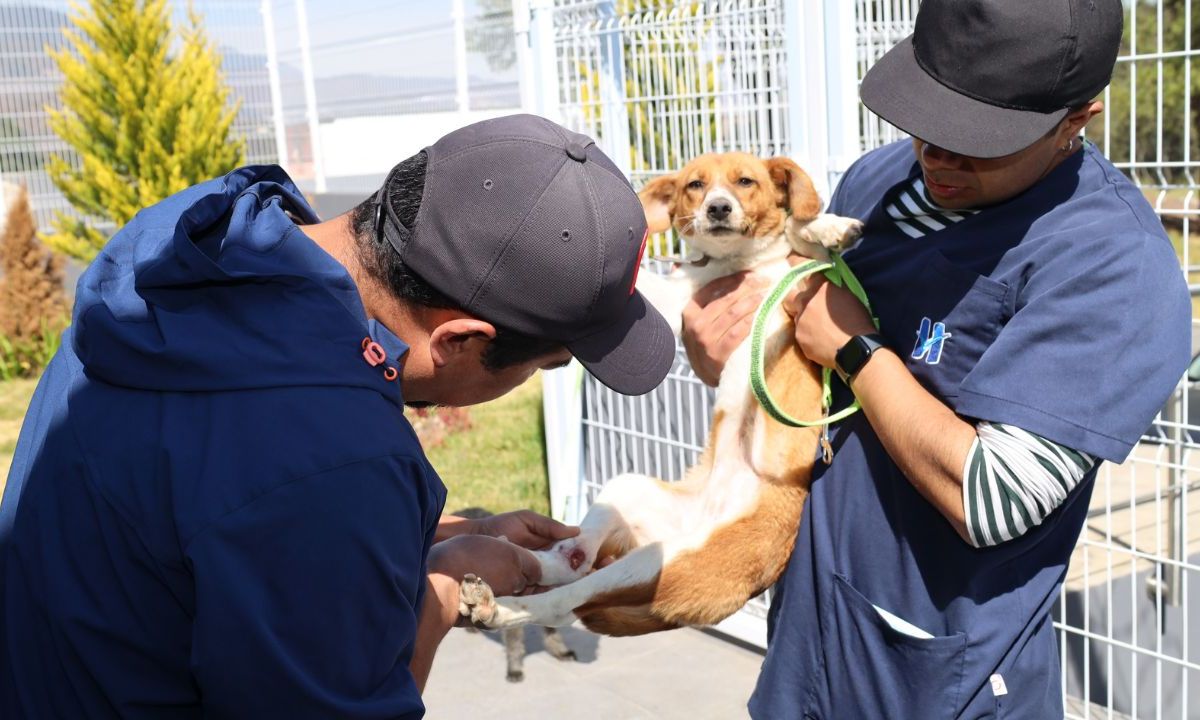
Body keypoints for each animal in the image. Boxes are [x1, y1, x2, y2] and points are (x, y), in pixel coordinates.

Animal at [458, 151, 864, 633]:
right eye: (695, 185)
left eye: (745, 181)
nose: (718, 208)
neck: (734, 263)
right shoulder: (676, 305)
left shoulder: (804, 283)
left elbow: (803, 239)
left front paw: (828, 226)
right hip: (627, 493)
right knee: (573, 564)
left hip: (656, 562)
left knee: (566, 599)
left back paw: (497, 606)